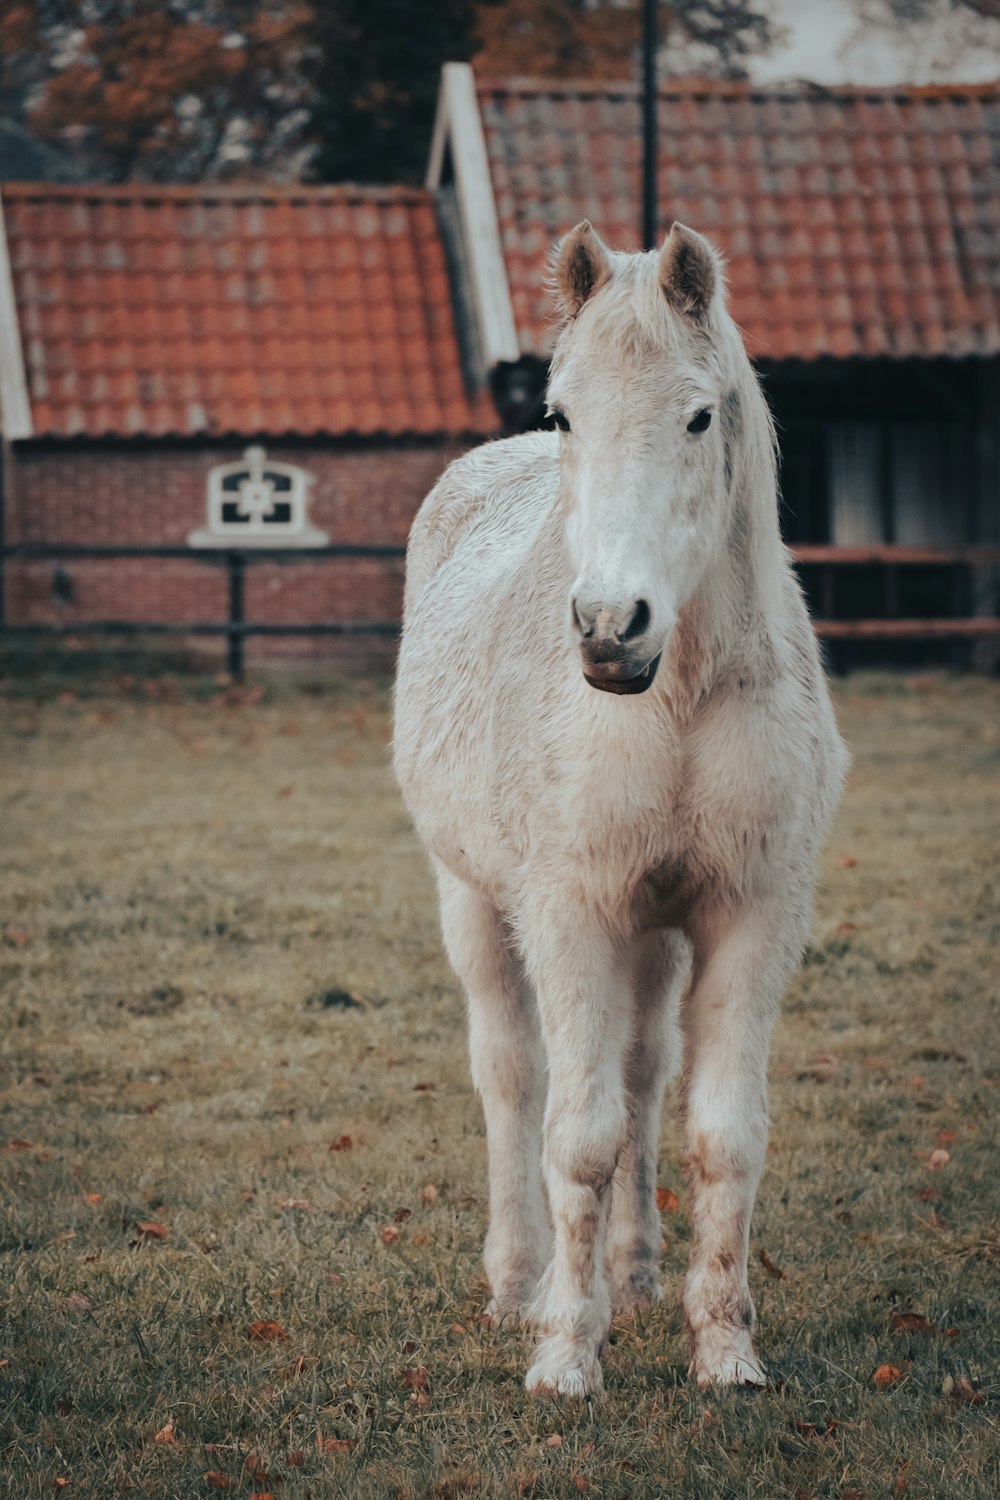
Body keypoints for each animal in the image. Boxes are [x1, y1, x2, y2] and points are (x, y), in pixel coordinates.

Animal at [395, 219, 851, 1392]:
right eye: (564, 413)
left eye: (698, 415)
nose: (609, 627)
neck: (679, 694)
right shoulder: (573, 913)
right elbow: (580, 1137)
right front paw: (565, 1353)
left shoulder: (745, 913)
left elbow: (720, 1136)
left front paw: (724, 1347)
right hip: (471, 902)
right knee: (514, 1080)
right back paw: (520, 1285)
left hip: (654, 934)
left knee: (645, 1077)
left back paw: (634, 1276)